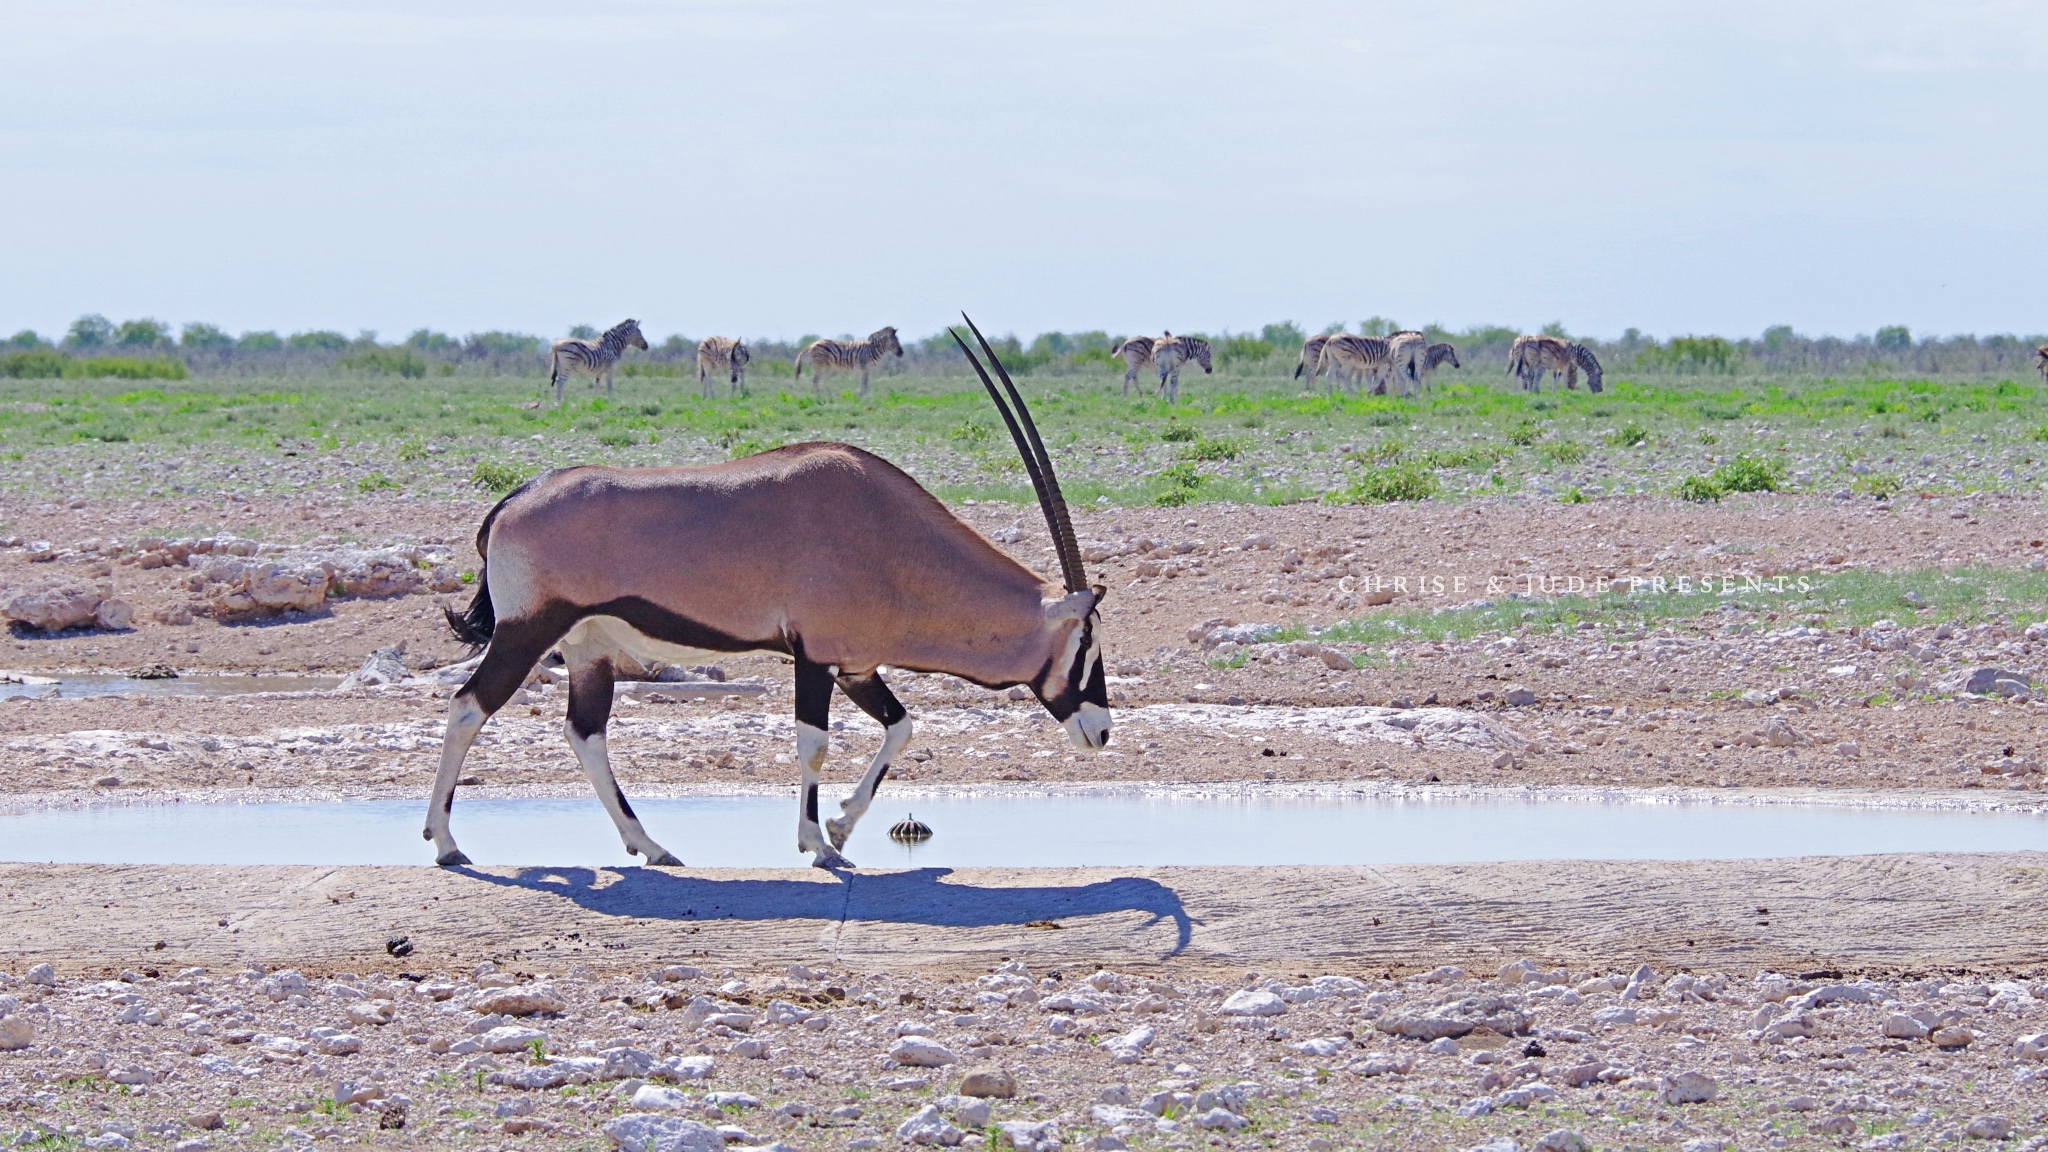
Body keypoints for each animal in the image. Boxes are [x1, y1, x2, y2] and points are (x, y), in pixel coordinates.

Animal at [421, 309, 1114, 865]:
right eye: (1086, 642)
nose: (1102, 732)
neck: (890, 537)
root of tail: (516, 498)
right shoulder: (815, 658)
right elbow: (814, 744)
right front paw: (819, 846)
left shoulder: (855, 666)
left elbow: (901, 727)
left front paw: (841, 826)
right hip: (526, 632)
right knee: (468, 707)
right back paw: (447, 843)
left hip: (589, 646)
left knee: (585, 733)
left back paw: (651, 846)